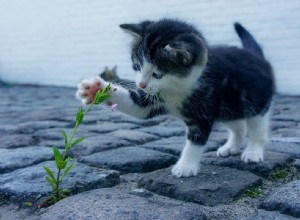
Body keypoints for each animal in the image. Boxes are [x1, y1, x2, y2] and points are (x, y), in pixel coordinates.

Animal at [77, 18, 274, 177]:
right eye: (137, 66)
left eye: (157, 74)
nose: (141, 84)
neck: (177, 88)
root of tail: (257, 56)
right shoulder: (153, 99)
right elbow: (136, 106)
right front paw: (95, 89)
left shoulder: (203, 111)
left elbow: (195, 141)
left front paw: (185, 167)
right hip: (230, 107)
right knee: (238, 125)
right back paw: (231, 147)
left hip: (256, 103)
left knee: (257, 129)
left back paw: (253, 152)